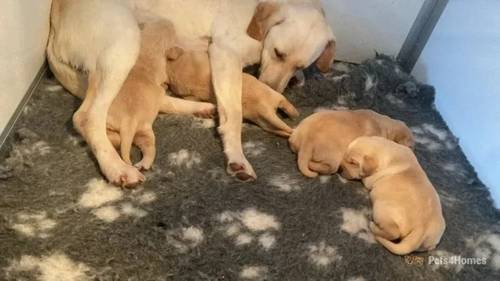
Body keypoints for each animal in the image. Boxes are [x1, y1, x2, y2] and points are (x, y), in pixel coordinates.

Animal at [164, 46, 298, 137]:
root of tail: (268, 109)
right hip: (266, 113)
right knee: (284, 123)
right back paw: (294, 118)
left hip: (268, 111)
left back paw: (293, 115)